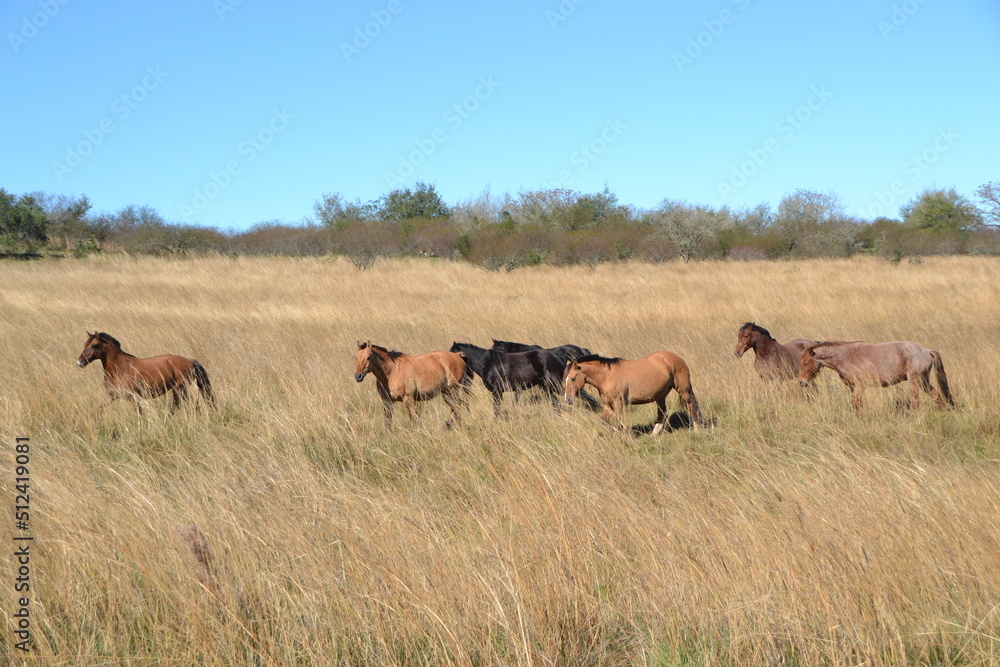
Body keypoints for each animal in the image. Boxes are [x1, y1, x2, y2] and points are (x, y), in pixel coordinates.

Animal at [76, 332, 215, 414]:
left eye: (94, 345)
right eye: (85, 344)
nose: (80, 362)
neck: (119, 368)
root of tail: (190, 361)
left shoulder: (132, 396)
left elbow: (140, 412)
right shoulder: (112, 395)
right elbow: (99, 409)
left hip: (181, 388)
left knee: (193, 405)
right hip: (177, 390)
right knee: (177, 406)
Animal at [564, 352, 704, 436]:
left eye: (573, 379)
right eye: (565, 379)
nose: (567, 400)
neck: (607, 376)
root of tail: (677, 358)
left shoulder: (619, 403)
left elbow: (619, 421)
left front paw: (624, 434)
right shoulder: (608, 404)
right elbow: (605, 421)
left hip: (684, 390)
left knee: (692, 406)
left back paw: (696, 430)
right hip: (660, 396)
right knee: (662, 412)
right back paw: (654, 434)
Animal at [796, 344, 952, 412]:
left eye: (806, 363)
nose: (801, 382)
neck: (844, 356)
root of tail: (926, 351)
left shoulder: (860, 386)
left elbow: (855, 403)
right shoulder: (854, 387)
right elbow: (857, 404)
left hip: (915, 381)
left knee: (915, 402)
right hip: (924, 382)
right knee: (937, 396)